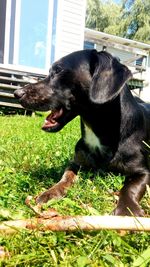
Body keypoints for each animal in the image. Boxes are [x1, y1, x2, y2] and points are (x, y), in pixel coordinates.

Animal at [14, 50, 150, 217]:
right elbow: (66, 177)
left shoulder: (143, 172)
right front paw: (51, 192)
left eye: (58, 70)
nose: (16, 93)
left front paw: (127, 209)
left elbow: (129, 188)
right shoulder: (76, 162)